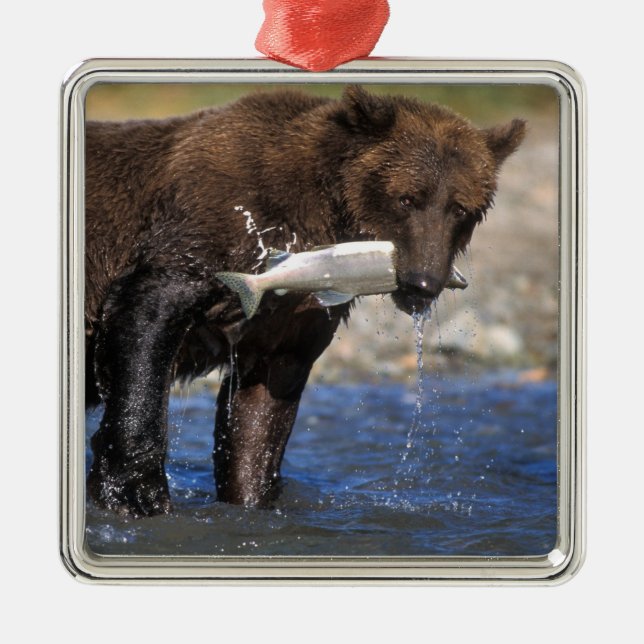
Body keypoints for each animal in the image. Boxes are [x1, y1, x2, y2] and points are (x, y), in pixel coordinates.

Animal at [85, 86, 525, 518]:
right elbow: (147, 317)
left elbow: (260, 414)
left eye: (460, 208)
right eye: (407, 199)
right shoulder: (210, 228)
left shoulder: (291, 318)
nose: (423, 282)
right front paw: (136, 492)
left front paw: (250, 496)